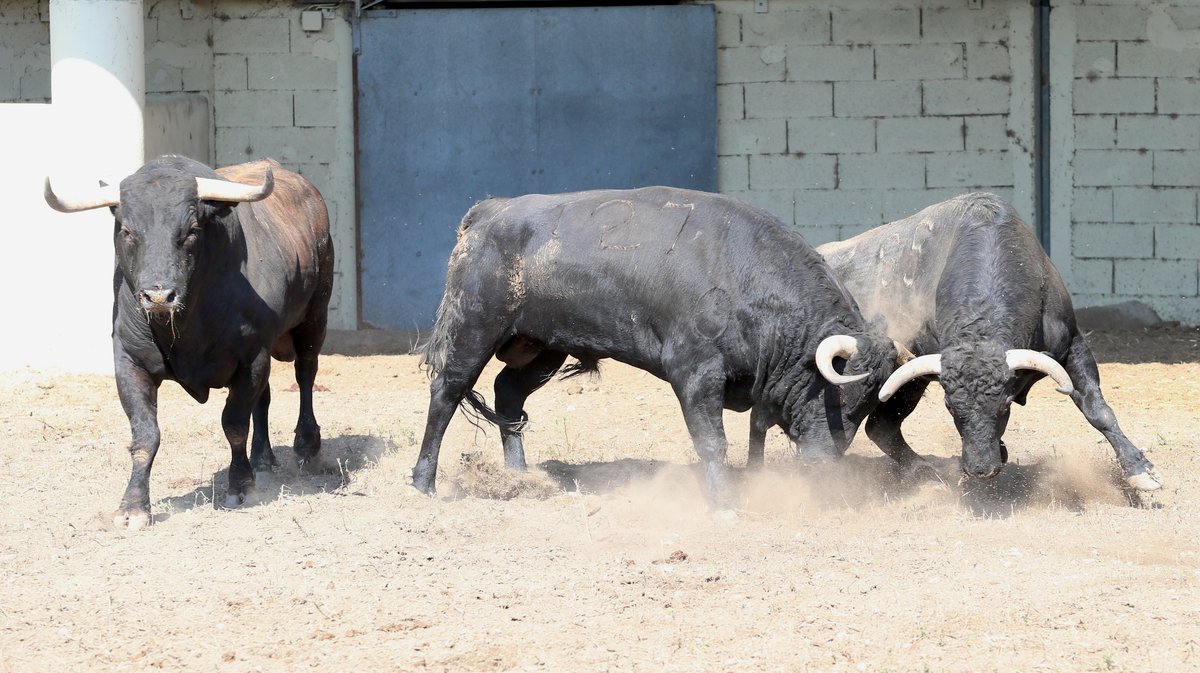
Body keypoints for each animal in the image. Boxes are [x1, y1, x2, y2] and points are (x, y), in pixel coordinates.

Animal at [45, 154, 336, 527]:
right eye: (127, 231)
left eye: (191, 231)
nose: (158, 296)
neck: (185, 328)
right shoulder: (129, 360)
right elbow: (145, 434)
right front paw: (133, 506)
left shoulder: (251, 357)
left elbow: (234, 424)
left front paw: (240, 487)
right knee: (265, 399)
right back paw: (263, 462)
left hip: (315, 317)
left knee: (305, 374)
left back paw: (306, 445)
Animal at [417, 185, 897, 506]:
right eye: (837, 396)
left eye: (863, 408)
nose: (824, 465)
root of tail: (490, 211)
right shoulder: (695, 372)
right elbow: (713, 441)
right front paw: (723, 503)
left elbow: (754, 435)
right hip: (474, 328)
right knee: (447, 392)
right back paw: (423, 483)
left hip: (543, 345)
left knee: (509, 396)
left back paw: (519, 477)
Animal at [801, 191, 1156, 491]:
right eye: (950, 408)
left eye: (1004, 405)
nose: (980, 470)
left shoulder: (1073, 345)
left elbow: (1097, 409)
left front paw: (1140, 470)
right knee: (877, 427)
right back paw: (923, 473)